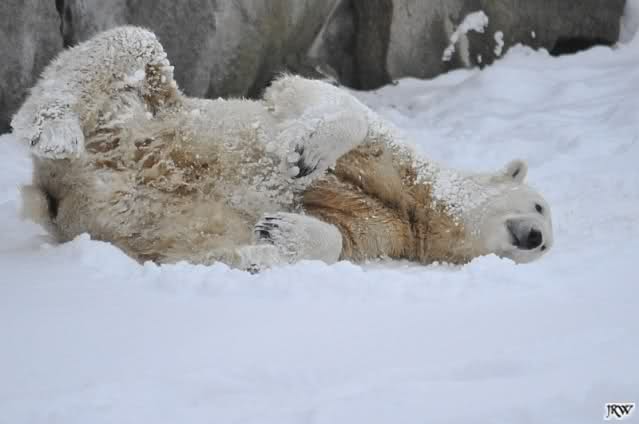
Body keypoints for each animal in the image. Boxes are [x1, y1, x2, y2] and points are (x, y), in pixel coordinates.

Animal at [12, 26, 553, 270]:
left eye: (546, 246)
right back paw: (52, 127)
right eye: (540, 207)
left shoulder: (391, 233)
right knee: (134, 48)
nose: (535, 239)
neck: (421, 209)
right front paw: (306, 154)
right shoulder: (403, 168)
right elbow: (318, 99)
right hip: (144, 114)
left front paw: (273, 235)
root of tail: (56, 189)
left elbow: (341, 240)